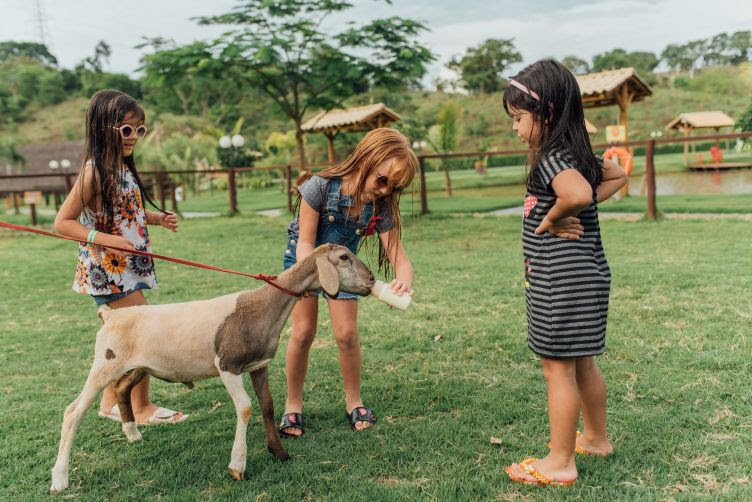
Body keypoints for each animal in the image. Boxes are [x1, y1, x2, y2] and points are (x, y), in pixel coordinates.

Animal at [50, 244, 374, 494]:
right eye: (343, 257)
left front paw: (279, 452)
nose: (371, 279)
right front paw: (237, 466)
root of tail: (109, 315)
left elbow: (267, 406)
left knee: (121, 389)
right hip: (106, 362)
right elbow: (245, 408)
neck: (265, 305)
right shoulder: (228, 365)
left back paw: (132, 434)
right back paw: (60, 479)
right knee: (73, 412)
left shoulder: (259, 366)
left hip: (139, 365)